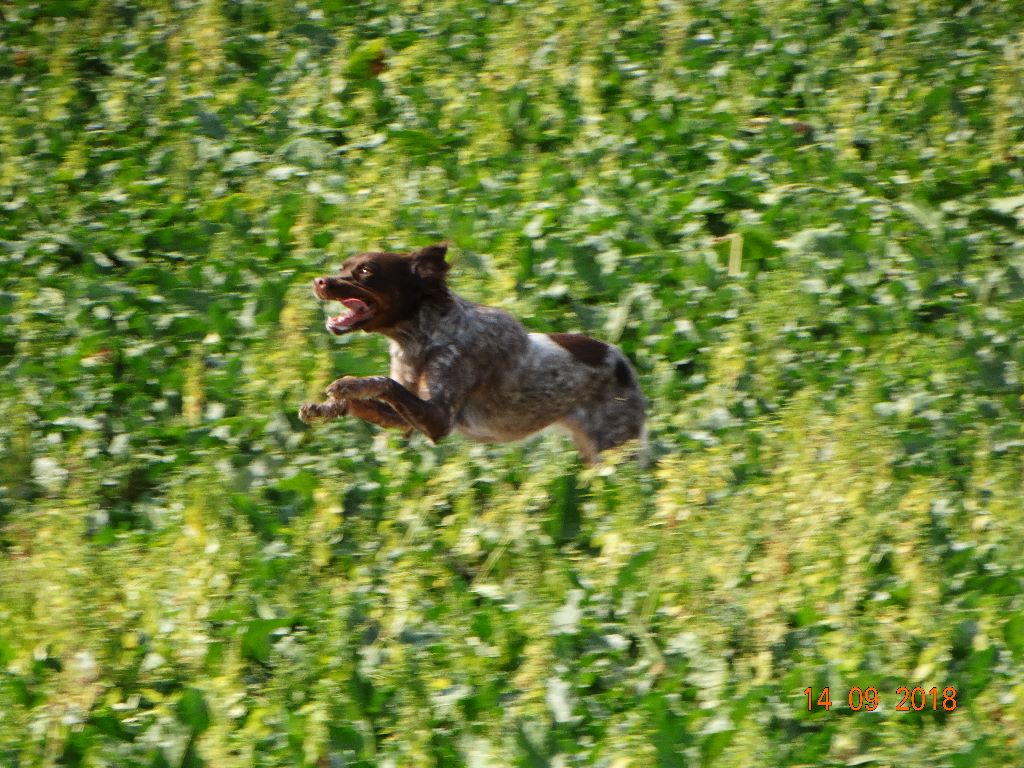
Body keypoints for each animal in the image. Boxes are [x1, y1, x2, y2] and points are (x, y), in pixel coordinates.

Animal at [299, 244, 643, 462]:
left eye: (366, 271)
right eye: (343, 267)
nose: (318, 281)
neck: (419, 336)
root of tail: (623, 361)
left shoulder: (440, 419)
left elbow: (383, 382)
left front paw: (348, 384)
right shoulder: (405, 418)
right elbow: (373, 396)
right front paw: (325, 407)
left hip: (616, 451)